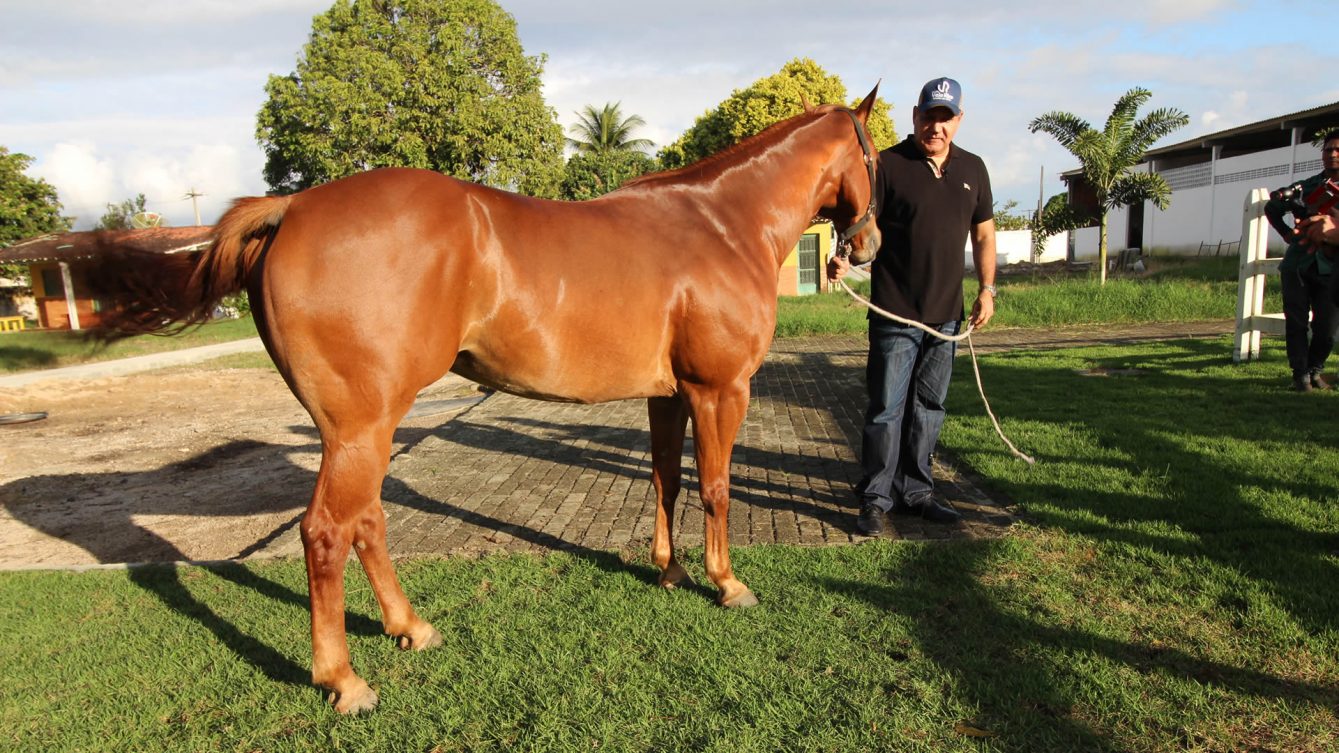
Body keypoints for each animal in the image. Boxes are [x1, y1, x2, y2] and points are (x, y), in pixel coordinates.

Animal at [94, 86, 889, 707]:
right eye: (876, 156)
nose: (869, 243)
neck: (719, 222)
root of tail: (291, 210)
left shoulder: (667, 394)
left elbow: (665, 478)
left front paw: (670, 570)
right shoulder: (719, 389)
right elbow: (717, 486)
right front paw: (726, 583)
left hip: (364, 428)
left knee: (367, 522)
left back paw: (410, 627)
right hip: (361, 424)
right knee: (326, 531)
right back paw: (343, 679)